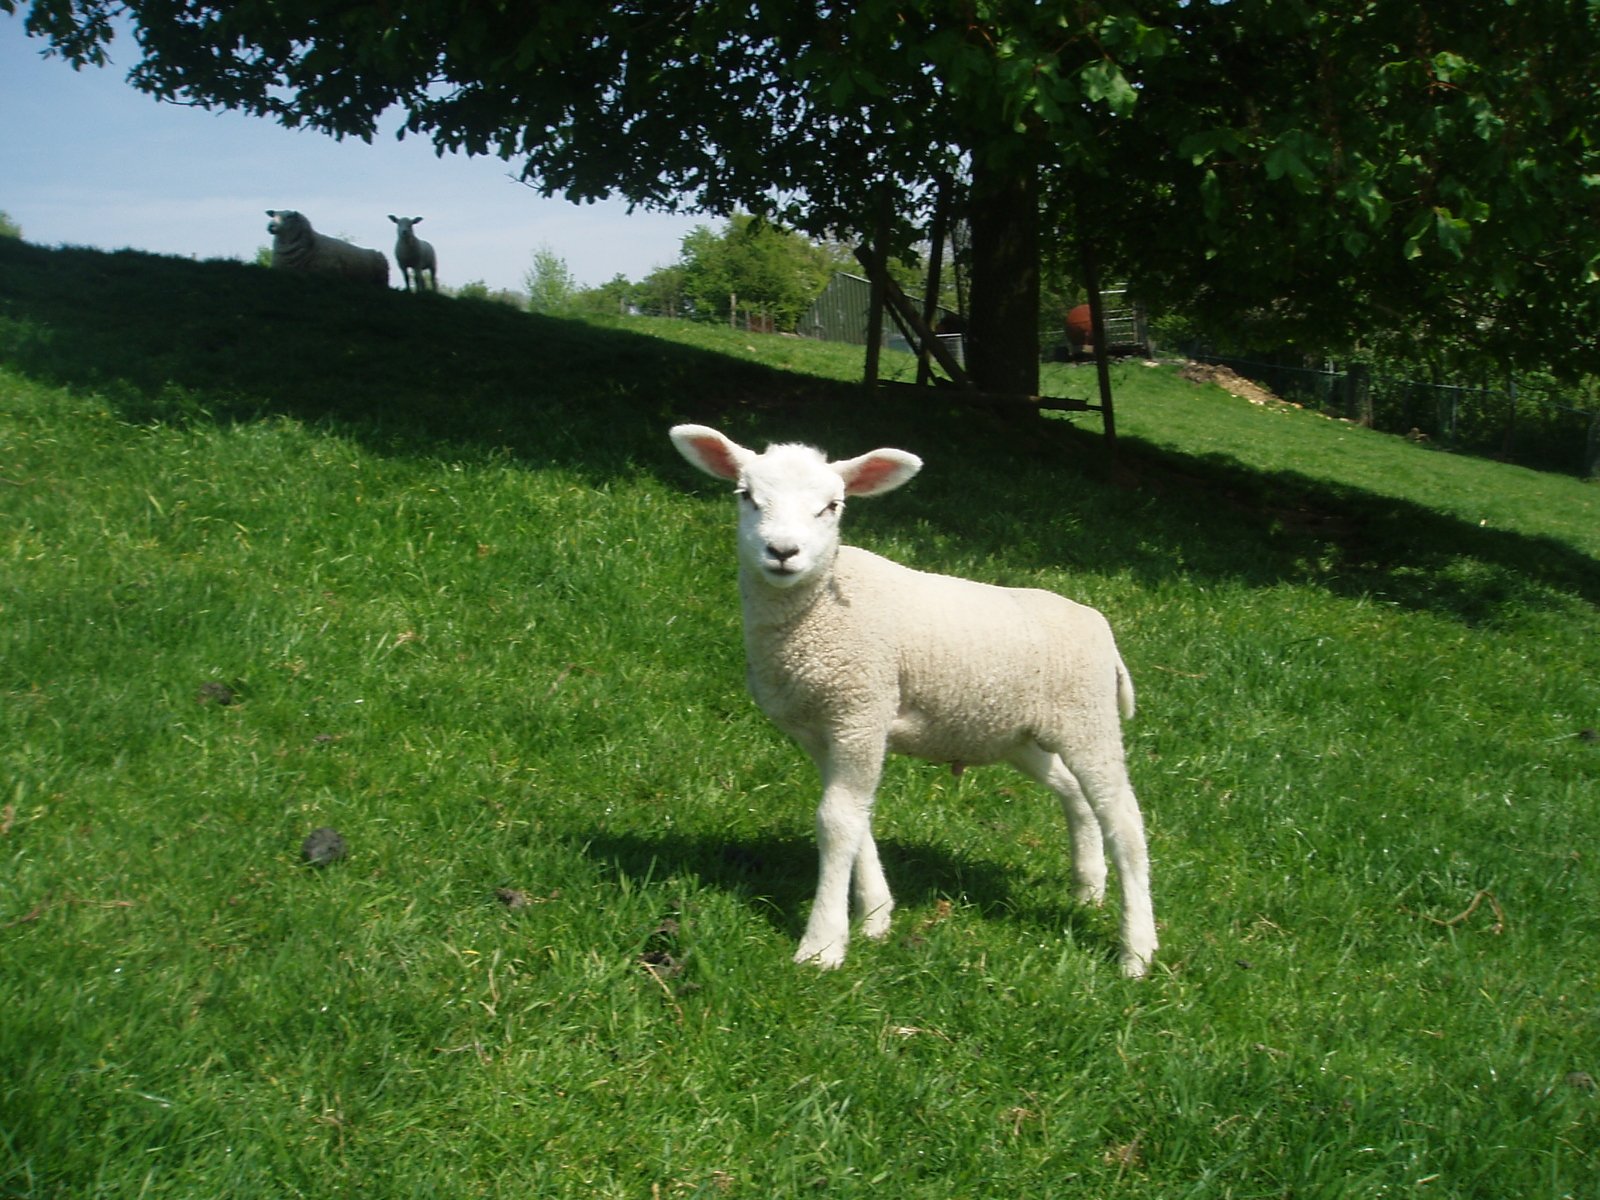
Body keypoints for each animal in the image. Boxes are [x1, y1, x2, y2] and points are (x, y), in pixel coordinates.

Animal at [668, 422, 1158, 979]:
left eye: (832, 506)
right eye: (746, 496)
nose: (783, 551)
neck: (815, 614)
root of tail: (1099, 626)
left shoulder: (860, 709)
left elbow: (836, 820)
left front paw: (823, 945)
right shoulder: (821, 729)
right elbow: (854, 815)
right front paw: (876, 916)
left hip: (1089, 719)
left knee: (1125, 820)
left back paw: (1137, 949)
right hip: (1017, 733)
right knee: (1074, 793)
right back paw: (1088, 886)